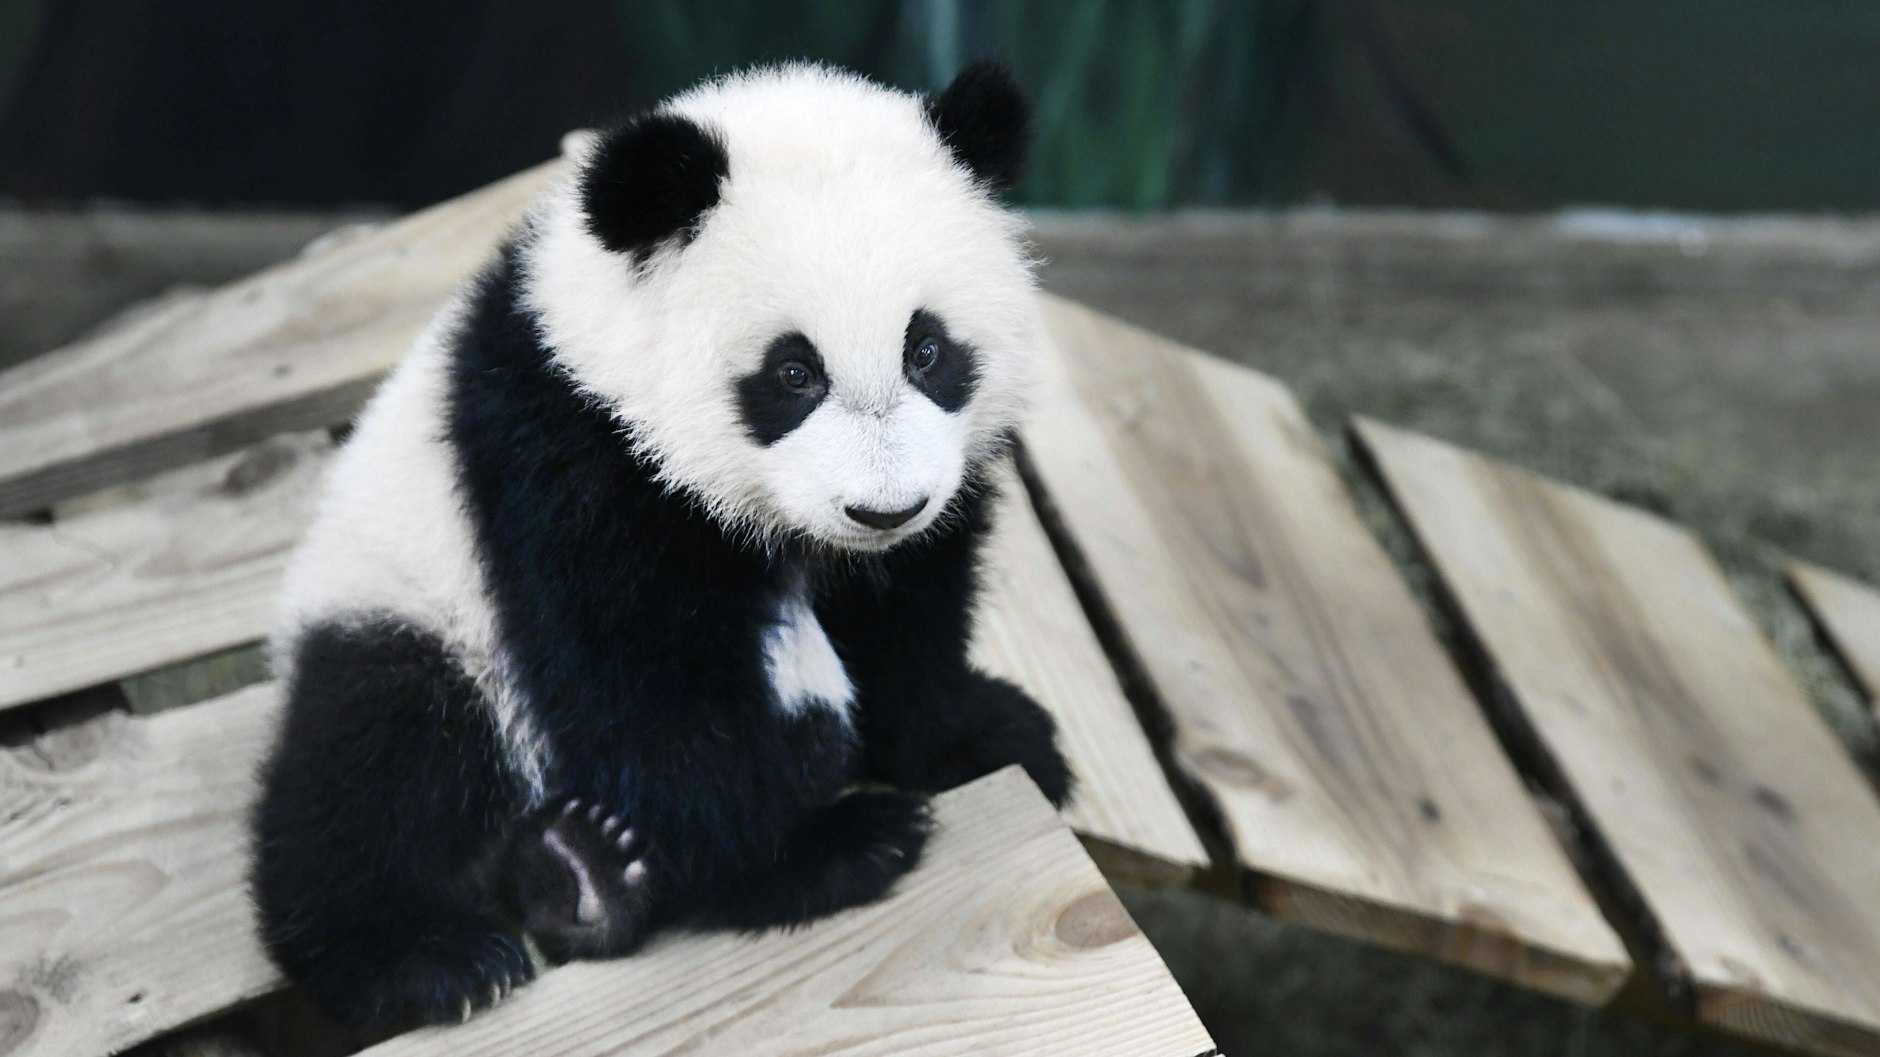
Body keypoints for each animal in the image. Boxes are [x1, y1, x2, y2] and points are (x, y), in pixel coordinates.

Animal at [249, 60, 1073, 1030]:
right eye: (793, 372)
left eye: (928, 350)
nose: (884, 508)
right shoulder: (569, 458)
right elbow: (649, 685)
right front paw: (806, 854)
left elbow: (906, 612)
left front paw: (981, 737)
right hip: (419, 609)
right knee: (377, 759)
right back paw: (449, 943)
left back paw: (574, 876)